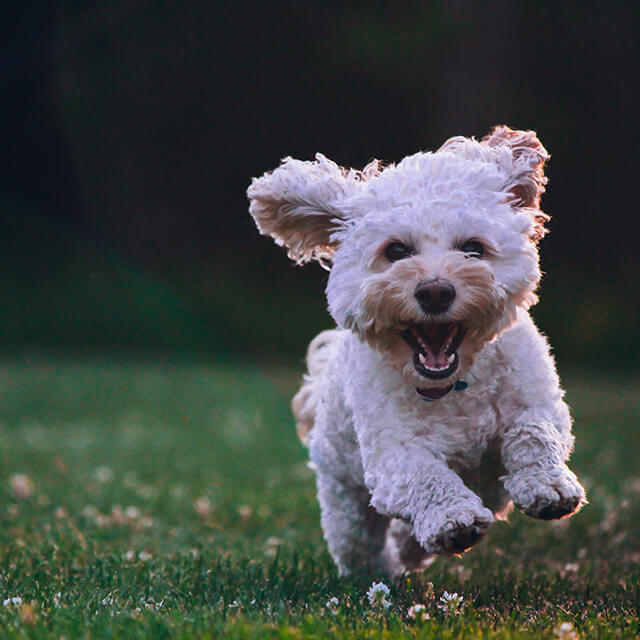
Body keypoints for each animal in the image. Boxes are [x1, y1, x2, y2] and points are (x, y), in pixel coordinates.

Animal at [248, 127, 588, 576]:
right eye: (395, 251)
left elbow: (534, 432)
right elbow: (425, 475)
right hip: (344, 499)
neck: (455, 385)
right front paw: (452, 519)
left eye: (473, 248)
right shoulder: (393, 453)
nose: (435, 291)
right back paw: (382, 571)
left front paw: (548, 486)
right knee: (359, 543)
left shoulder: (538, 400)